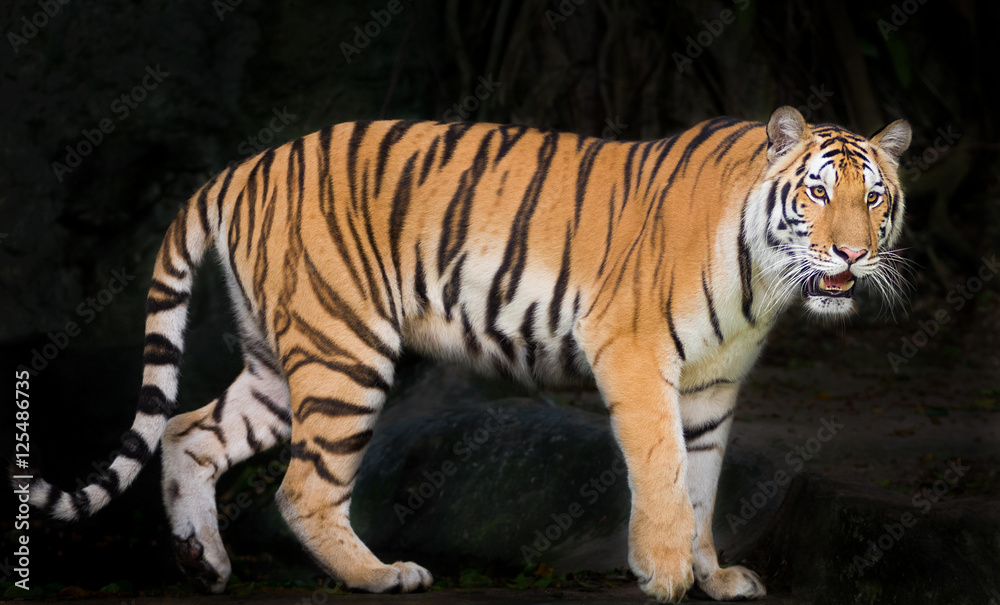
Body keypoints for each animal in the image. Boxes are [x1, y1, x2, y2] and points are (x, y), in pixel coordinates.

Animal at [22, 106, 911, 603]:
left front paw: (715, 575)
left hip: (281, 363)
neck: (763, 277)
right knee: (303, 488)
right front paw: (664, 574)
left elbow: (702, 485)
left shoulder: (712, 387)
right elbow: (661, 470)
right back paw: (382, 575)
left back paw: (203, 563)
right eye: (818, 192)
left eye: (874, 198)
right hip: (344, 350)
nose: (852, 254)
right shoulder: (632, 353)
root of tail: (243, 165)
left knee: (187, 431)